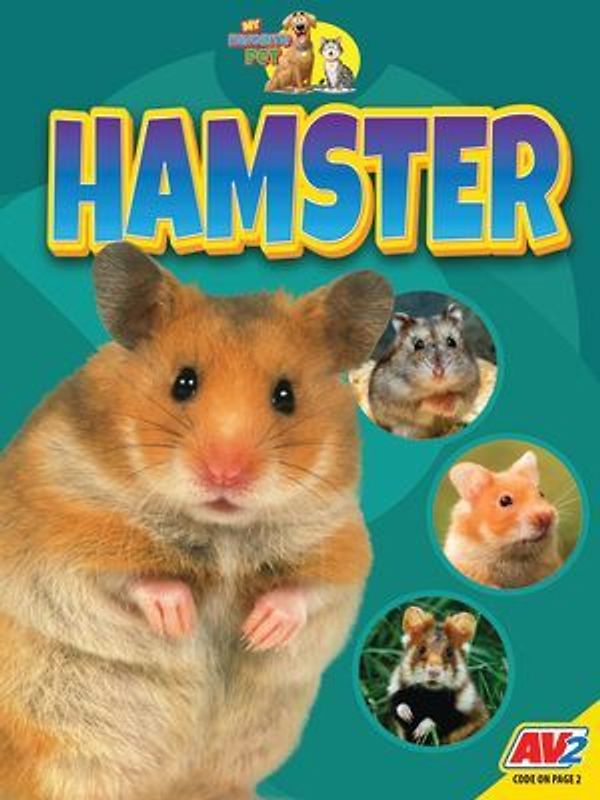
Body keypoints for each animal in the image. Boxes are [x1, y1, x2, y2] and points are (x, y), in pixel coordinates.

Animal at [0, 242, 393, 800]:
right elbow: (128, 579)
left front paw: (260, 630)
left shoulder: (341, 545)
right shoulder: (63, 529)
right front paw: (179, 617)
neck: (221, 531)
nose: (225, 474)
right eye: (182, 383)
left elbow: (308, 594)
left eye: (286, 395)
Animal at [368, 304, 480, 439]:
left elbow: (458, 398)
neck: (437, 390)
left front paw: (447, 407)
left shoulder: (470, 386)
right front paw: (439, 405)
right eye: (418, 344)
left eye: (451, 342)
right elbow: (422, 403)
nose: (439, 373)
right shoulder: (396, 396)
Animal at [387, 606, 489, 745]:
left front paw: (419, 732)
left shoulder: (460, 710)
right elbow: (398, 705)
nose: (434, 672)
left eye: (449, 652)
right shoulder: (396, 691)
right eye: (422, 649)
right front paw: (408, 716)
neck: (429, 693)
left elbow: (438, 719)